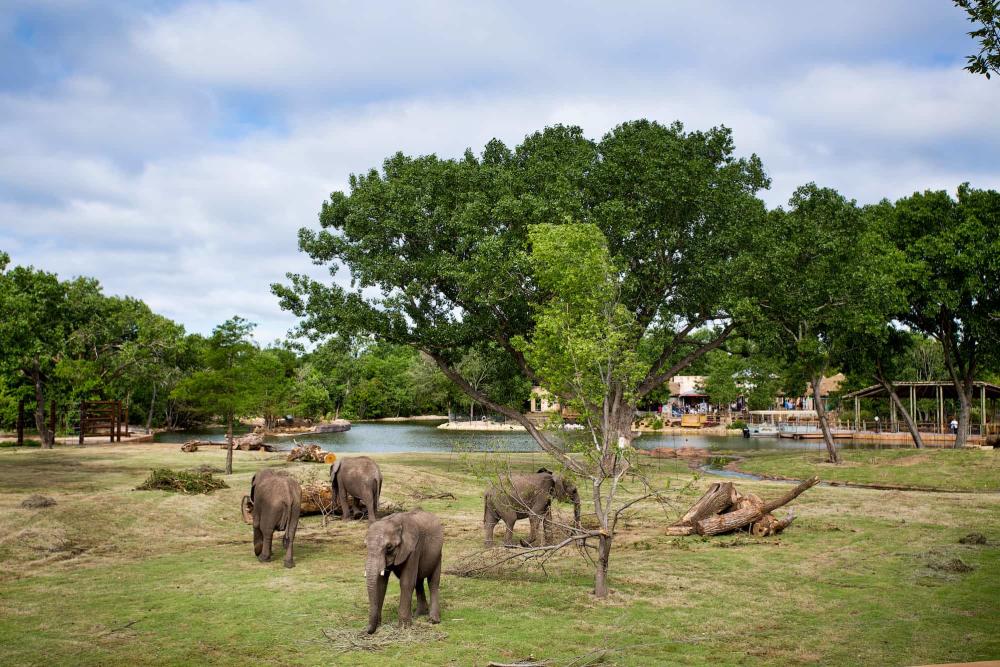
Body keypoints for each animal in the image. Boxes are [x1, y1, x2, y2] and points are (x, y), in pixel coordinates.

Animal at [366, 508, 444, 636]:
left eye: (389, 547)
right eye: (365, 545)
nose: (368, 631)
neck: (394, 522)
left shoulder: (414, 548)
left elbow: (406, 582)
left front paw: (404, 626)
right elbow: (381, 584)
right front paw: (378, 625)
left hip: (438, 554)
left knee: (433, 582)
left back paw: (433, 619)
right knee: (418, 581)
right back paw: (419, 614)